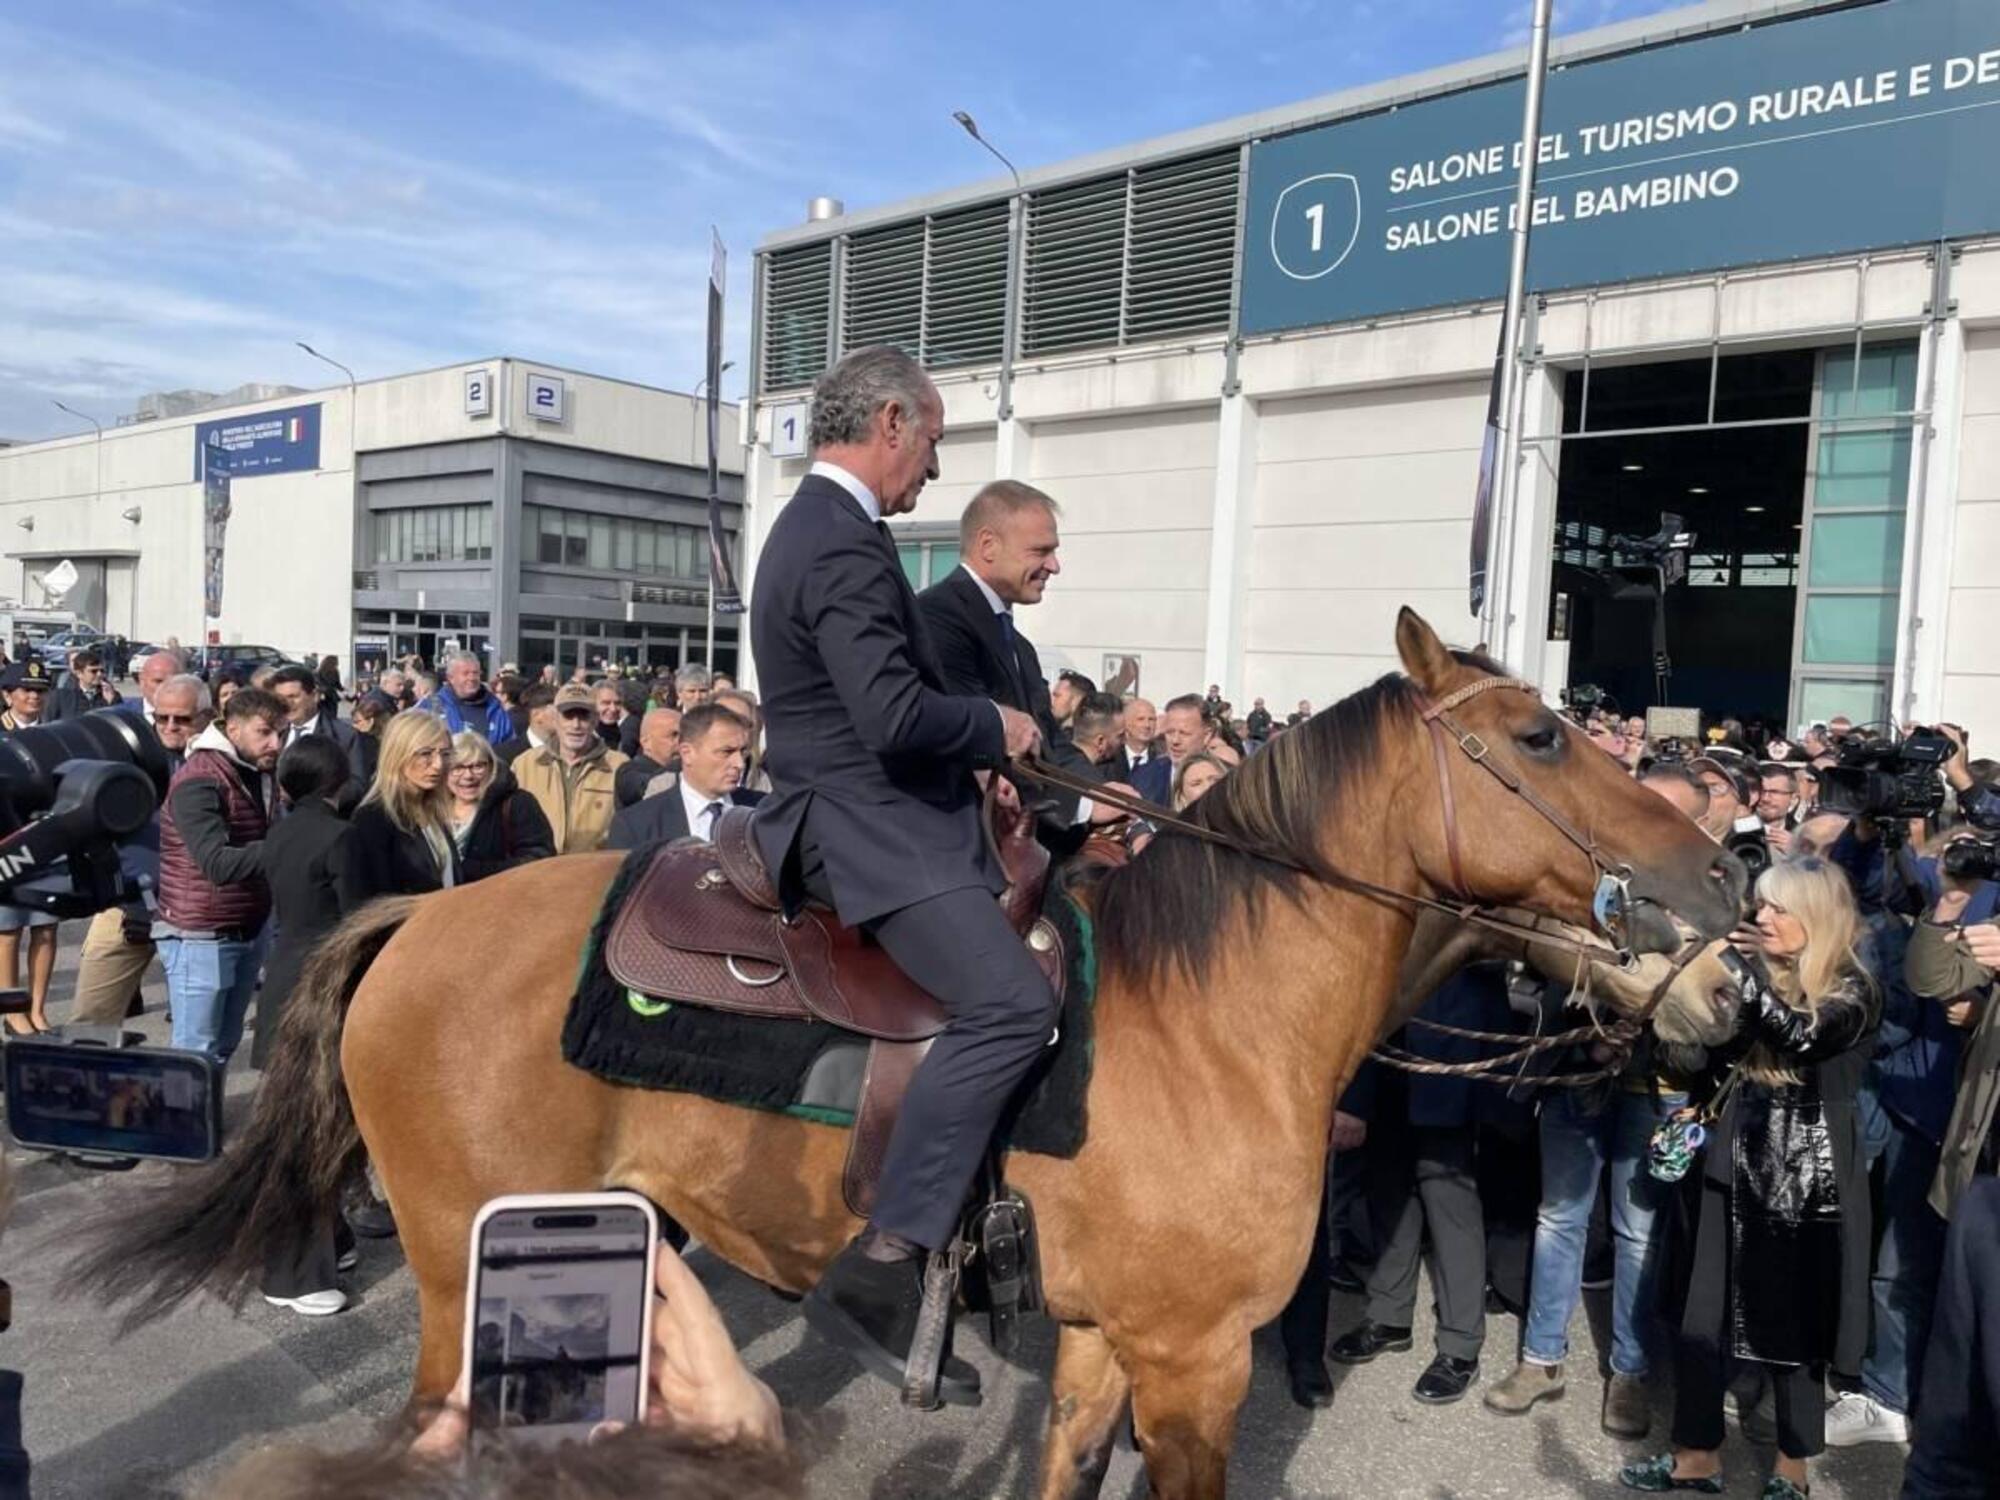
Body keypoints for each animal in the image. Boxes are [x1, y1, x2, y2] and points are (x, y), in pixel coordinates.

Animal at [78, 612, 1744, 1500]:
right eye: (1538, 739)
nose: (1730, 898)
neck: (1217, 1020)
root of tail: (418, 921)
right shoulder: (1197, 1365)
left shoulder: (1105, 1348)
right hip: (465, 1270)